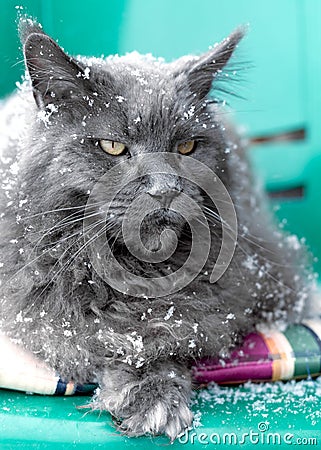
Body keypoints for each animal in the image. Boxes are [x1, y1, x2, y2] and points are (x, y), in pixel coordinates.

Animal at [0, 17, 310, 440]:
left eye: (187, 147)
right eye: (113, 147)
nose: (165, 189)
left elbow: (164, 338)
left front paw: (157, 397)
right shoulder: (45, 316)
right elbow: (107, 340)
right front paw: (147, 398)